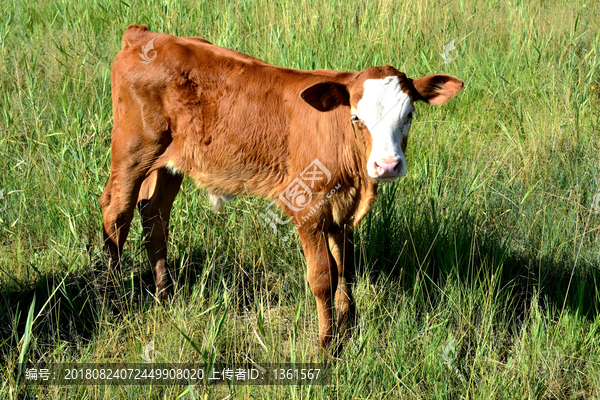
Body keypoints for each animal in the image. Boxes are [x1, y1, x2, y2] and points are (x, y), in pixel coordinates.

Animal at [101, 25, 464, 348]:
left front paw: (348, 330)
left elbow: (346, 270)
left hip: (169, 162)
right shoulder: (307, 206)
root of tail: (146, 36)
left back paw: (165, 295)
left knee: (154, 215)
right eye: (357, 118)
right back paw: (111, 295)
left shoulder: (343, 211)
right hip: (132, 149)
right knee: (116, 211)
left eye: (409, 115)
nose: (387, 165)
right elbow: (323, 278)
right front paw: (326, 345)